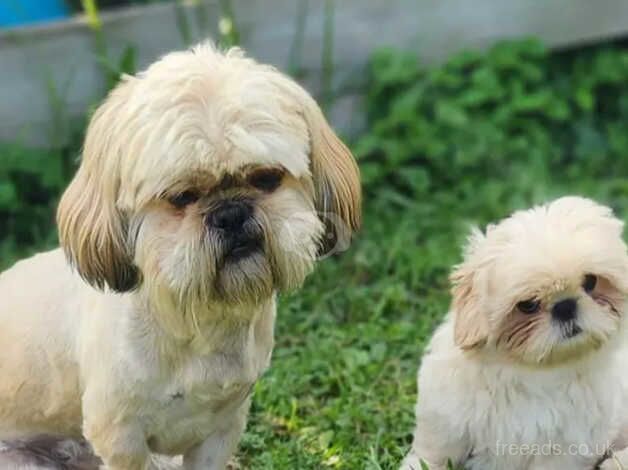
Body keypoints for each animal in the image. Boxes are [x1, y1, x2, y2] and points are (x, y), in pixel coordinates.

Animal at [0, 42, 360, 468]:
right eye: (181, 197)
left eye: (267, 178)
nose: (230, 212)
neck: (197, 319)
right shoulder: (120, 436)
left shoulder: (223, 428)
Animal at [402, 197, 628, 470]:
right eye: (528, 305)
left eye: (591, 282)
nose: (565, 307)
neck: (530, 371)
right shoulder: (446, 415)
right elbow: (433, 451)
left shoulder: (565, 447)